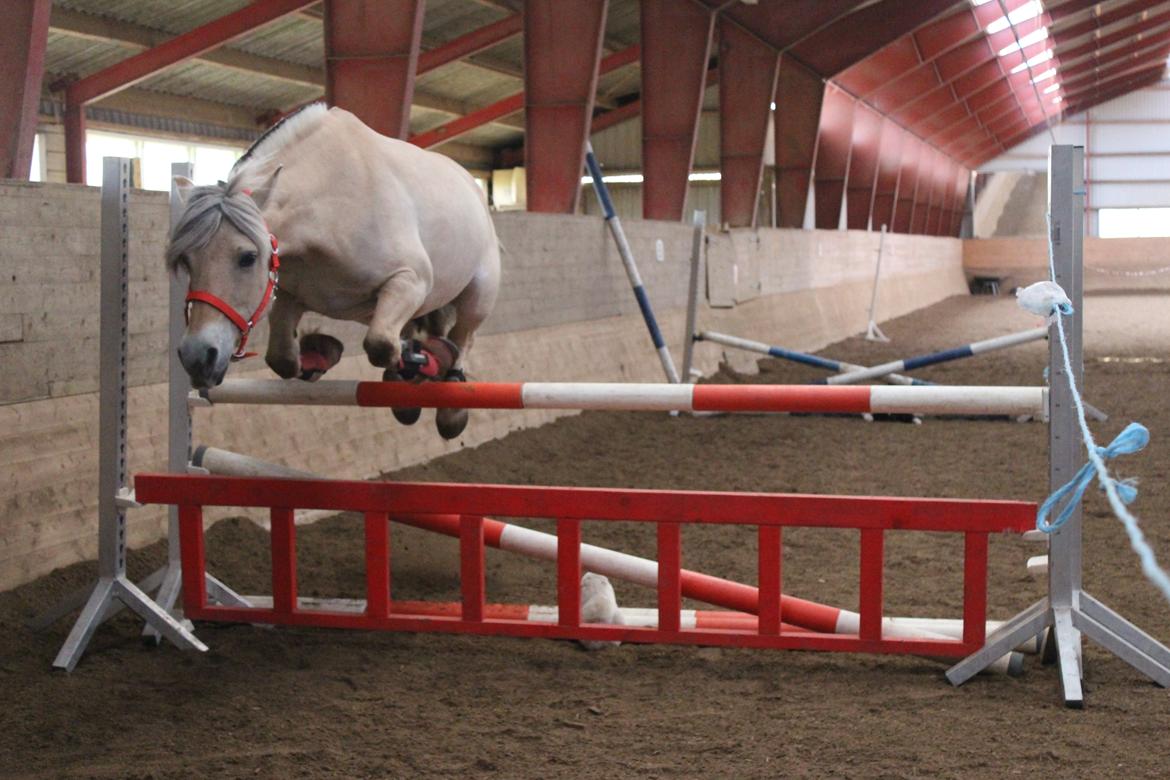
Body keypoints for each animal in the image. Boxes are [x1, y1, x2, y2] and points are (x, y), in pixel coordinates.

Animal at [164, 105, 498, 439]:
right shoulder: (289, 295)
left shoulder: (410, 281)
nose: (197, 356)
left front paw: (432, 360)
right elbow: (283, 359)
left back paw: (448, 400)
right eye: (186, 261)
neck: (329, 209)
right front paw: (323, 353)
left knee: (461, 338)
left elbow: (380, 345)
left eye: (247, 257)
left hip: (477, 297)